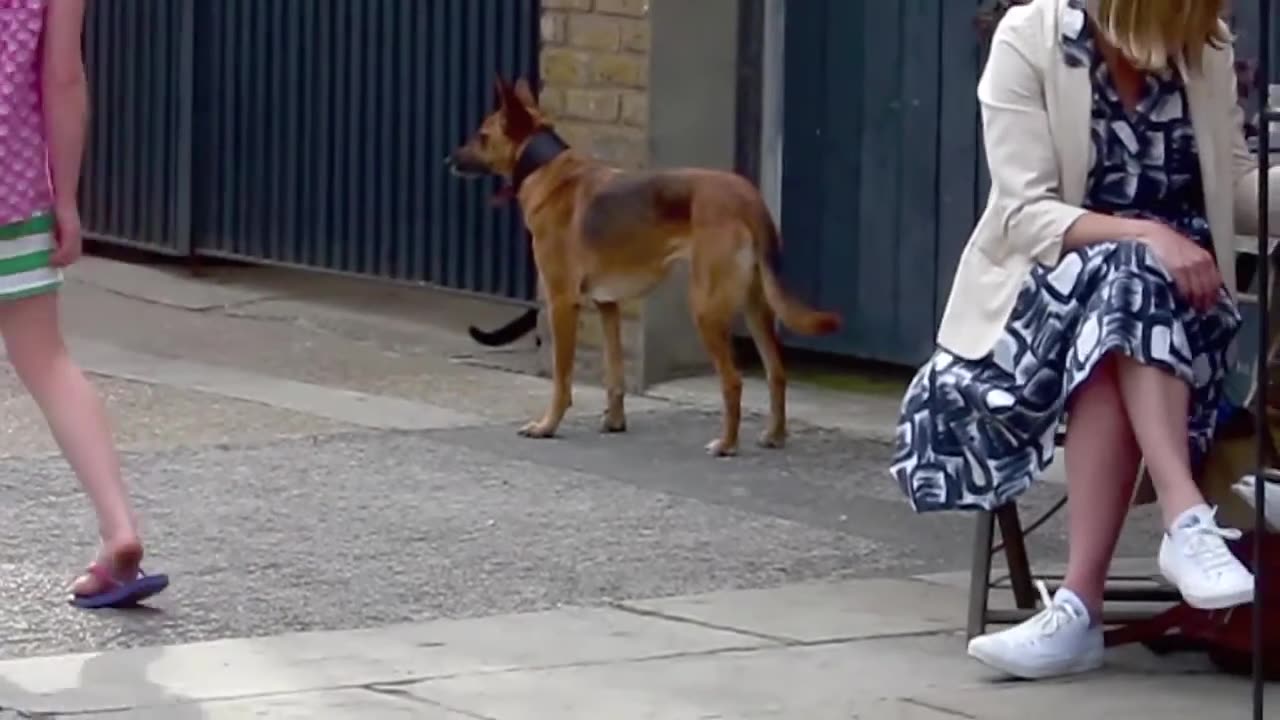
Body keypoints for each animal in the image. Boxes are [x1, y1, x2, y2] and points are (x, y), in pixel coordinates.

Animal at [445, 77, 844, 453]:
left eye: (482, 136)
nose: (448, 162)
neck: (546, 168)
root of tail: (749, 198)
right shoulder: (608, 305)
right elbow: (614, 373)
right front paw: (614, 421)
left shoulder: (561, 303)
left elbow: (562, 377)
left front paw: (548, 425)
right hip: (755, 306)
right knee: (777, 372)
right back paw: (774, 435)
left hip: (707, 308)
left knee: (733, 380)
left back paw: (727, 444)